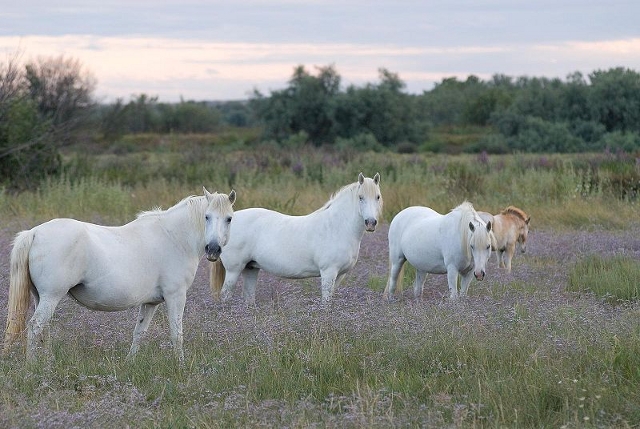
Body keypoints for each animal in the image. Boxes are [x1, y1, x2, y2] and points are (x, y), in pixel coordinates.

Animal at [3, 188, 236, 362]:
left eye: (229, 219)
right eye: (207, 217)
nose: (213, 249)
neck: (174, 237)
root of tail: (34, 233)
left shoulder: (151, 303)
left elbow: (139, 333)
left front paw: (129, 363)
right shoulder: (176, 296)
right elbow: (176, 334)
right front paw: (181, 366)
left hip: (41, 297)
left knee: (44, 329)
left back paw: (48, 362)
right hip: (51, 296)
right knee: (35, 327)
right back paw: (32, 366)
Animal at [210, 171, 382, 304]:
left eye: (378, 197)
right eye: (360, 197)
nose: (371, 223)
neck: (337, 227)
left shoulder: (339, 275)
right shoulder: (328, 272)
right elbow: (326, 304)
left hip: (250, 269)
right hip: (234, 270)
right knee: (225, 296)